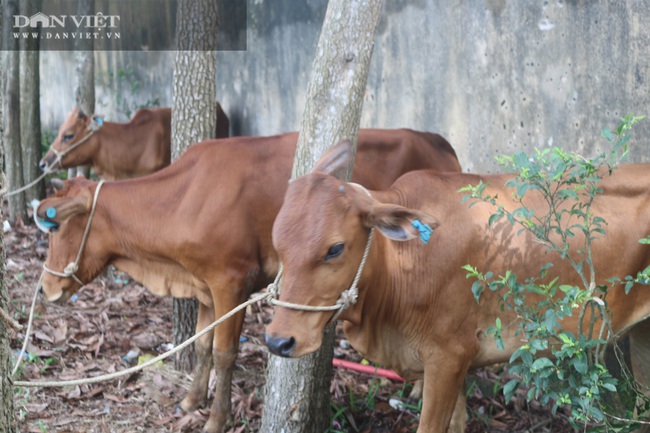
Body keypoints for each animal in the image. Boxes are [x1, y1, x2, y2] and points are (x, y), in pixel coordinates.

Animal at [35, 129, 460, 432]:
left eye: (55, 226)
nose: (46, 288)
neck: (184, 197)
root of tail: (437, 140)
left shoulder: (231, 282)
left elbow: (224, 353)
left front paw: (215, 419)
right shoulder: (205, 288)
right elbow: (202, 344)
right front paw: (191, 400)